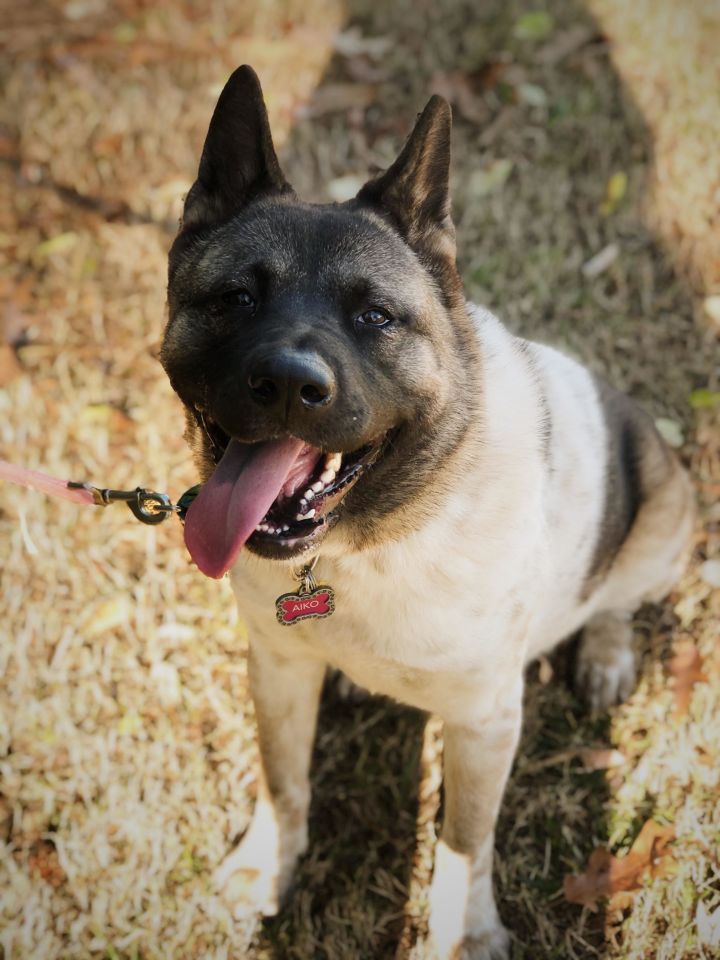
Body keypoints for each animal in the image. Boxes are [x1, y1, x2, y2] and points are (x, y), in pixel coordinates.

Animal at [162, 63, 692, 956]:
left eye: (375, 316)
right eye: (234, 298)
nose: (288, 384)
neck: (362, 546)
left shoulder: (483, 721)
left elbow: (464, 840)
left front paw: (464, 928)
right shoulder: (278, 668)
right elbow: (283, 778)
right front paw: (268, 864)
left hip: (661, 521)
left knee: (616, 598)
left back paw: (605, 652)